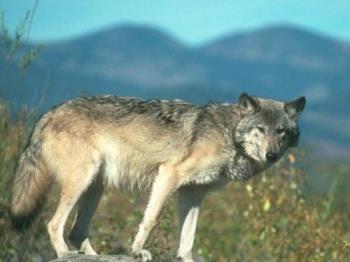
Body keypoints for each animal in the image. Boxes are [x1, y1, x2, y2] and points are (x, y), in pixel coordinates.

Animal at [9, 92, 304, 260]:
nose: (272, 155)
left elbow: (188, 238)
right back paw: (64, 254)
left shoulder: (192, 195)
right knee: (54, 224)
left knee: (76, 231)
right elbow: (151, 219)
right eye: (260, 129)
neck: (228, 134)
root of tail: (48, 113)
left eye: (280, 131)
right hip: (81, 181)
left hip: (94, 187)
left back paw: (94, 255)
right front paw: (137, 250)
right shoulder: (169, 175)